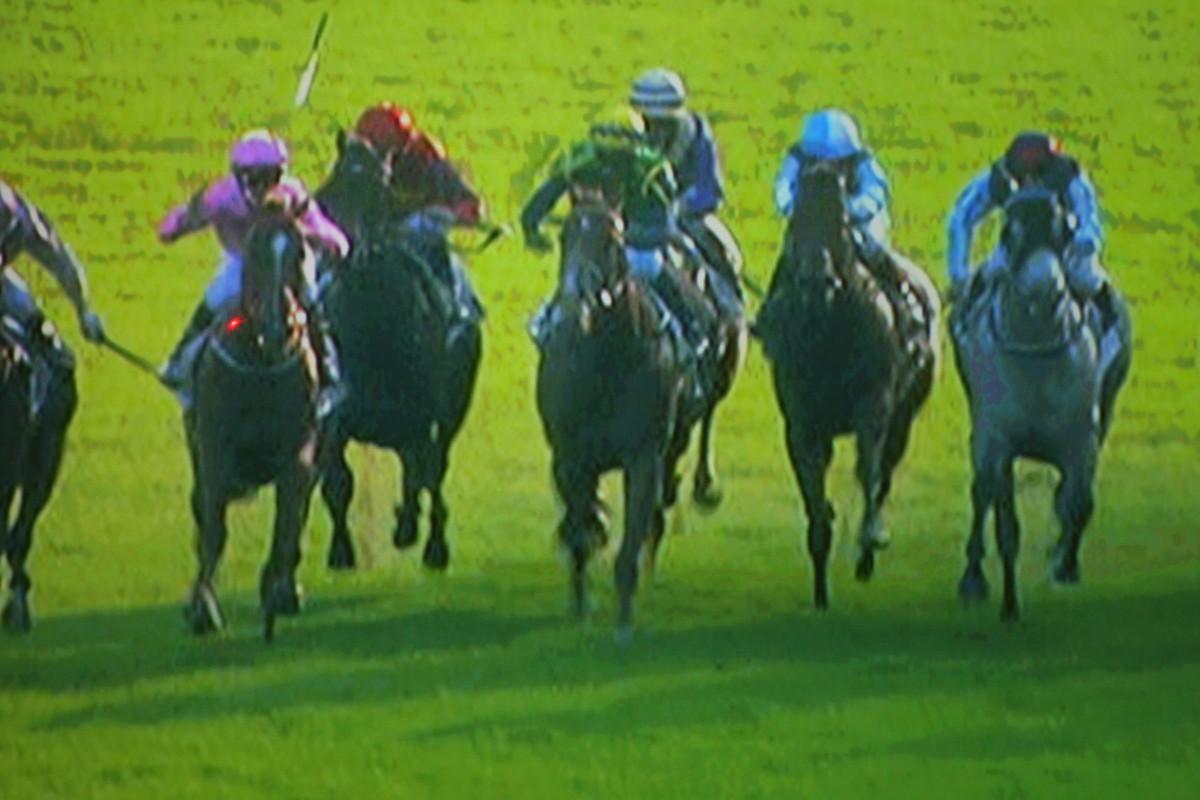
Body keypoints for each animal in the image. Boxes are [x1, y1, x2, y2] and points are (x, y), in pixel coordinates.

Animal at [182, 215, 319, 642]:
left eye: (299, 252)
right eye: (255, 250)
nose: (278, 326)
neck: (262, 363)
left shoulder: (299, 452)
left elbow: (288, 518)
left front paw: (277, 594)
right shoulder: (214, 449)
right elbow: (213, 528)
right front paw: (204, 610)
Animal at [314, 133, 482, 568]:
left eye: (379, 182)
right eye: (335, 181)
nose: (343, 242)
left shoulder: (429, 412)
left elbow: (430, 470)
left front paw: (435, 546)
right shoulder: (335, 416)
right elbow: (339, 481)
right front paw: (341, 550)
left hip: (451, 408)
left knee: (427, 463)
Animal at [758, 163, 936, 614]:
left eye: (839, 220)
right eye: (797, 218)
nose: (816, 280)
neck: (829, 328)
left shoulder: (874, 408)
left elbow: (868, 470)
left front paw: (869, 538)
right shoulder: (802, 425)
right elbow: (814, 500)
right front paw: (821, 588)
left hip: (904, 417)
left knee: (884, 473)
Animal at [950, 189, 1128, 623]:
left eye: (1065, 229)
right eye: (1011, 231)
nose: (1044, 289)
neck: (1036, 352)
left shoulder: (1083, 439)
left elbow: (1078, 502)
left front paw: (1064, 564)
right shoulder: (997, 443)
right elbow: (1006, 525)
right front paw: (1009, 604)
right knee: (981, 493)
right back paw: (972, 578)